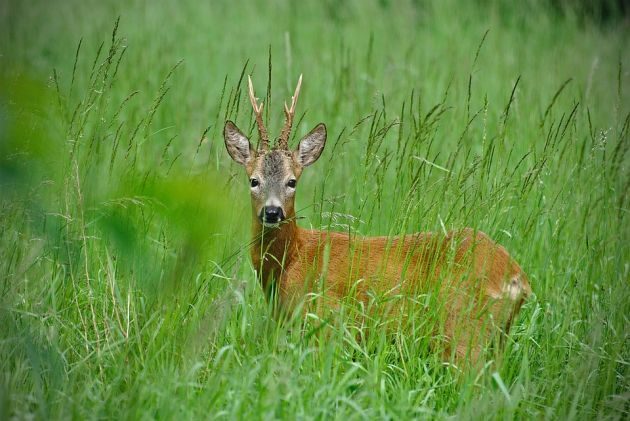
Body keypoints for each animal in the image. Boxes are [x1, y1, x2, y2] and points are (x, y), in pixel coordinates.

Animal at [223, 74, 532, 364]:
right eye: (254, 180)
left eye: (292, 181)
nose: (272, 212)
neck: (293, 260)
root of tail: (516, 278)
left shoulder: (327, 321)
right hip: (495, 338)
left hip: (464, 330)